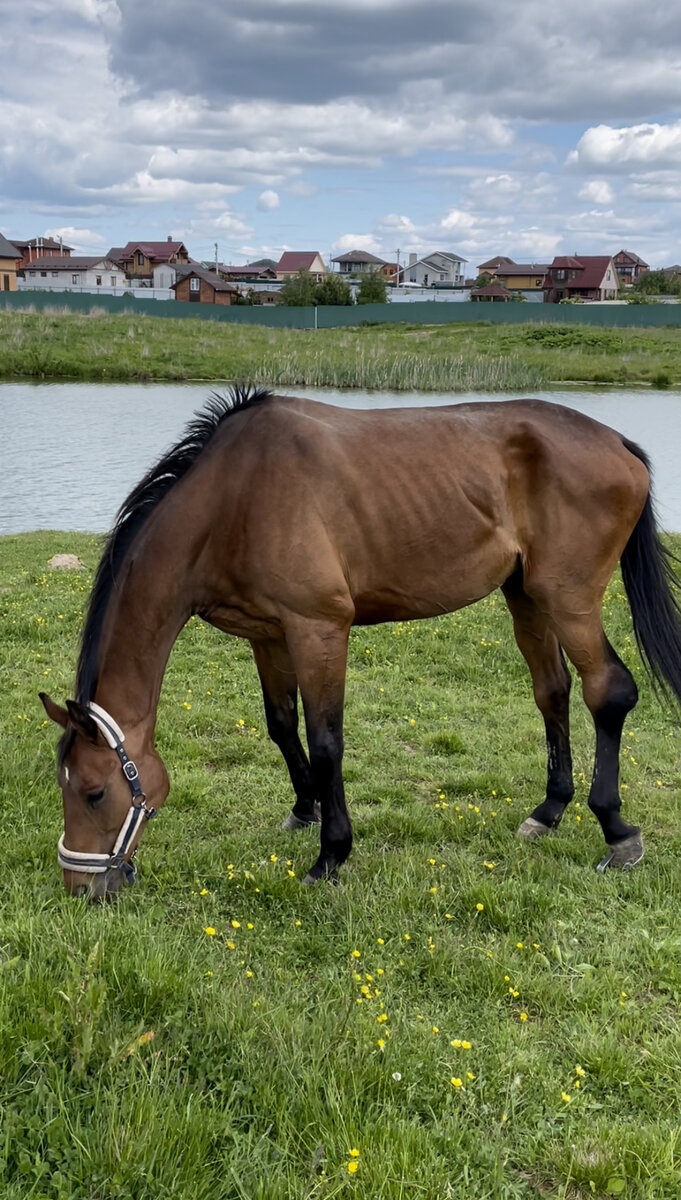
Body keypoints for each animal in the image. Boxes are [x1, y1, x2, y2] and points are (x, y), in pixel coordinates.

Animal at [39, 386, 681, 902]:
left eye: (94, 793)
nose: (79, 886)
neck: (234, 498)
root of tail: (617, 443)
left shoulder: (319, 628)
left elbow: (326, 742)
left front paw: (331, 854)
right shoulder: (269, 636)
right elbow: (281, 725)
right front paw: (305, 808)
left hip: (568, 597)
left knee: (609, 691)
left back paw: (617, 832)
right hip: (525, 594)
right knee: (553, 692)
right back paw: (548, 811)